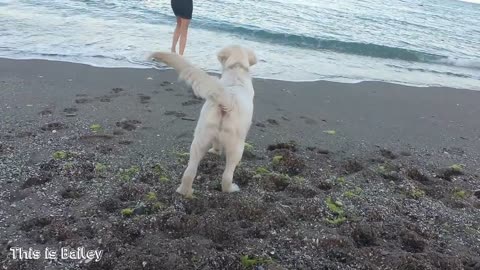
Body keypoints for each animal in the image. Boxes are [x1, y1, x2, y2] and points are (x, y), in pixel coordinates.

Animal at [151, 45, 256, 197]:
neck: (236, 71)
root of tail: (227, 99)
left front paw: (215, 151)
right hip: (236, 146)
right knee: (226, 175)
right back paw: (231, 188)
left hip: (200, 138)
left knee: (190, 171)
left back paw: (185, 192)